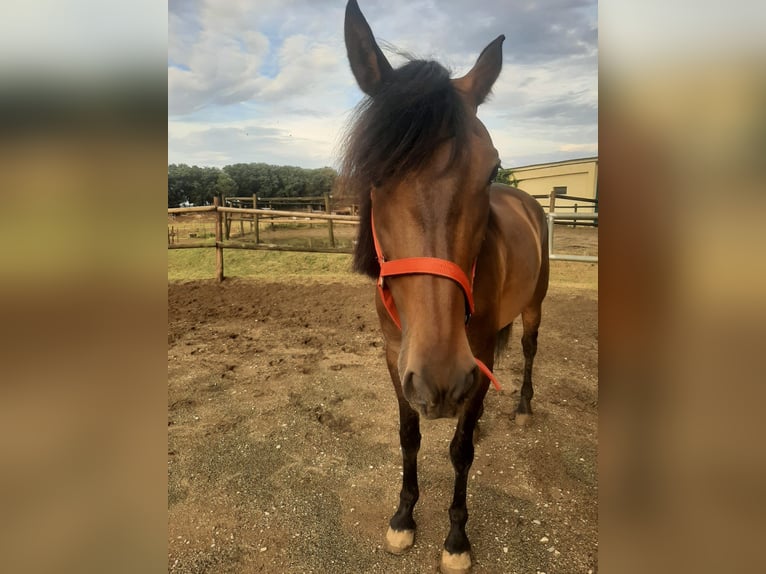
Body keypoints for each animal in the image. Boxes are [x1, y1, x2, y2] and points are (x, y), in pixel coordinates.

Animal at [340, 1, 550, 572]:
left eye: (492, 167)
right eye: (375, 173)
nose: (440, 381)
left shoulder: (473, 356)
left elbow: (459, 452)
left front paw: (456, 539)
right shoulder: (395, 356)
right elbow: (409, 436)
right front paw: (403, 518)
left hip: (532, 309)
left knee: (527, 350)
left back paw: (522, 407)